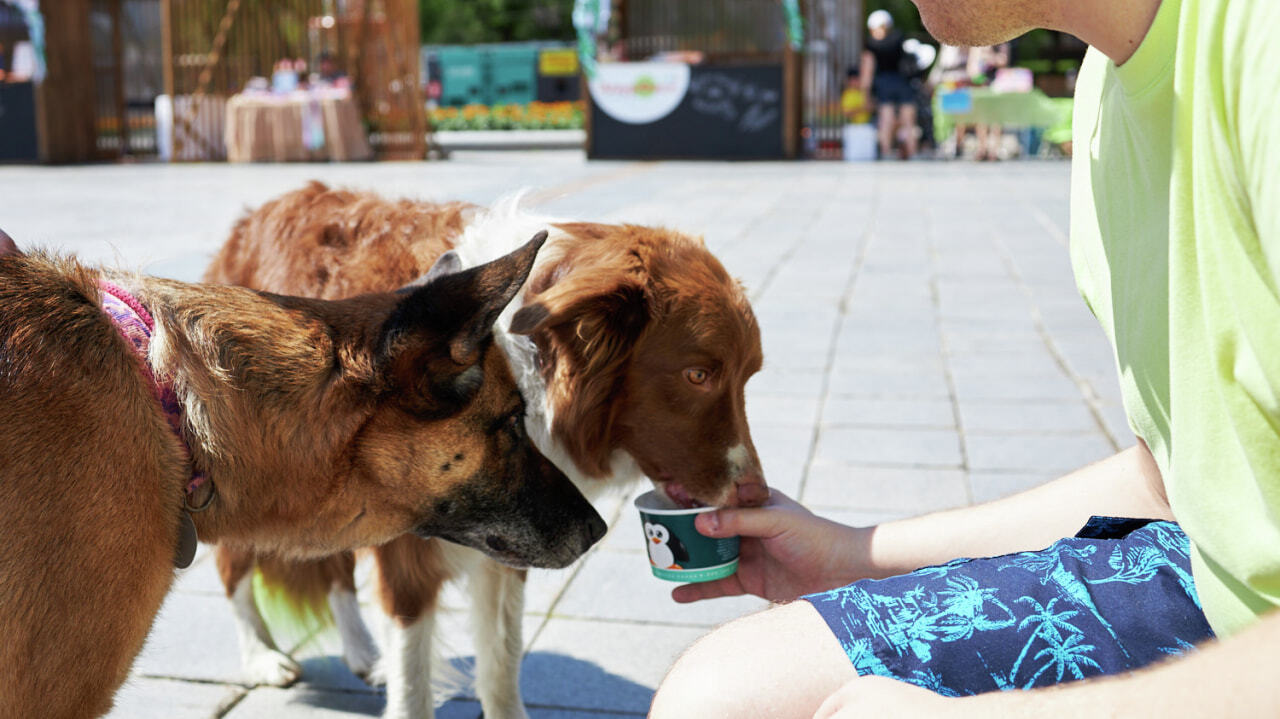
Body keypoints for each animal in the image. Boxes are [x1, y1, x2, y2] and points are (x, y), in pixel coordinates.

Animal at [207, 184, 768, 716]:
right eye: (697, 376)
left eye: (748, 376)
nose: (757, 497)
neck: (526, 360)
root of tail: (259, 212)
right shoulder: (409, 555)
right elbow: (414, 684)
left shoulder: (521, 536)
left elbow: (501, 660)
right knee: (236, 570)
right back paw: (262, 655)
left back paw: (364, 652)